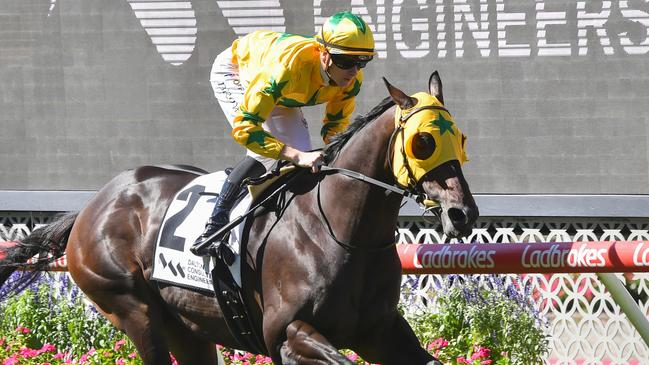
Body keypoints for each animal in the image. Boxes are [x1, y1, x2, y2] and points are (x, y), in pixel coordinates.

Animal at [0, 72, 476, 364]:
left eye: (461, 139)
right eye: (423, 142)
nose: (462, 213)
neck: (342, 232)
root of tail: (93, 205)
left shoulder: (380, 332)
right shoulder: (287, 335)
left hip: (188, 327)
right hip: (131, 308)